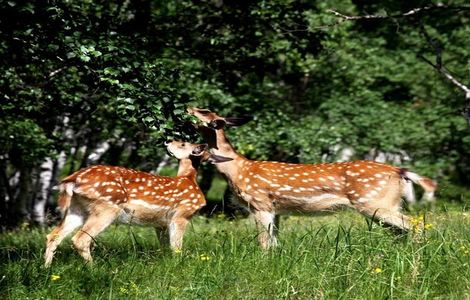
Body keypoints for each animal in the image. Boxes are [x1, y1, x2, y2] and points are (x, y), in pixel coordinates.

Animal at [45, 141, 232, 268]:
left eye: (182, 143)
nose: (167, 141)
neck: (188, 179)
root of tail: (73, 179)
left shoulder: (161, 223)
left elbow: (166, 247)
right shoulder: (182, 214)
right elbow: (176, 247)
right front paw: (178, 266)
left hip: (76, 208)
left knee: (53, 235)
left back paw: (46, 268)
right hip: (106, 207)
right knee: (80, 239)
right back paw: (94, 269)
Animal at [187, 107, 436, 248]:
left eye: (205, 111)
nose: (189, 107)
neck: (238, 169)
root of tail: (400, 171)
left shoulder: (260, 203)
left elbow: (264, 243)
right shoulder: (277, 210)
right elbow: (275, 243)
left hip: (375, 202)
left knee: (415, 225)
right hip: (385, 205)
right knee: (402, 230)